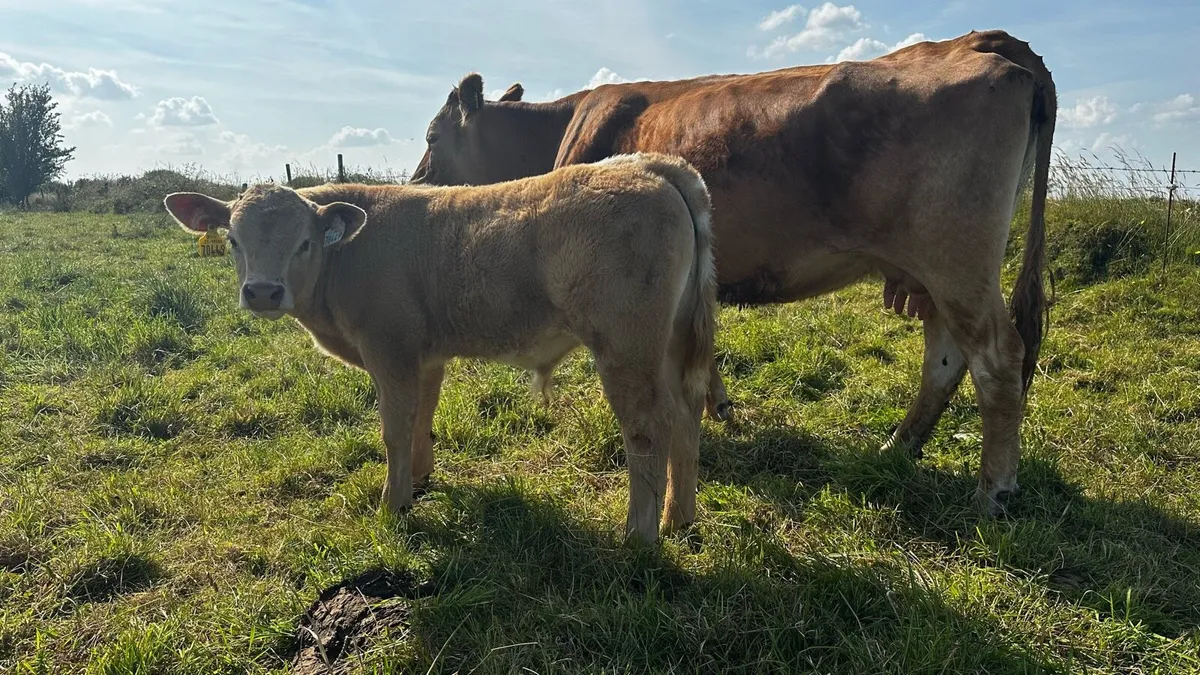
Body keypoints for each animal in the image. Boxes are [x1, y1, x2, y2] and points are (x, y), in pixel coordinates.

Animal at [162, 152, 717, 544]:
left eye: (304, 243)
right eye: (233, 240)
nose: (263, 293)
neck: (347, 257)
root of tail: (645, 164)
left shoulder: (390, 352)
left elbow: (393, 430)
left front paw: (391, 505)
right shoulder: (424, 357)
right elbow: (419, 421)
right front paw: (418, 482)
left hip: (627, 346)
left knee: (648, 427)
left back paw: (639, 537)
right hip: (670, 343)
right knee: (687, 414)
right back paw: (678, 518)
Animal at [410, 29, 1057, 515]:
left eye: (433, 135)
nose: (415, 184)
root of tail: (978, 42)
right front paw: (719, 406)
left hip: (955, 260)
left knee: (998, 359)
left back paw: (993, 490)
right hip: (935, 274)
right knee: (947, 359)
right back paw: (898, 446)